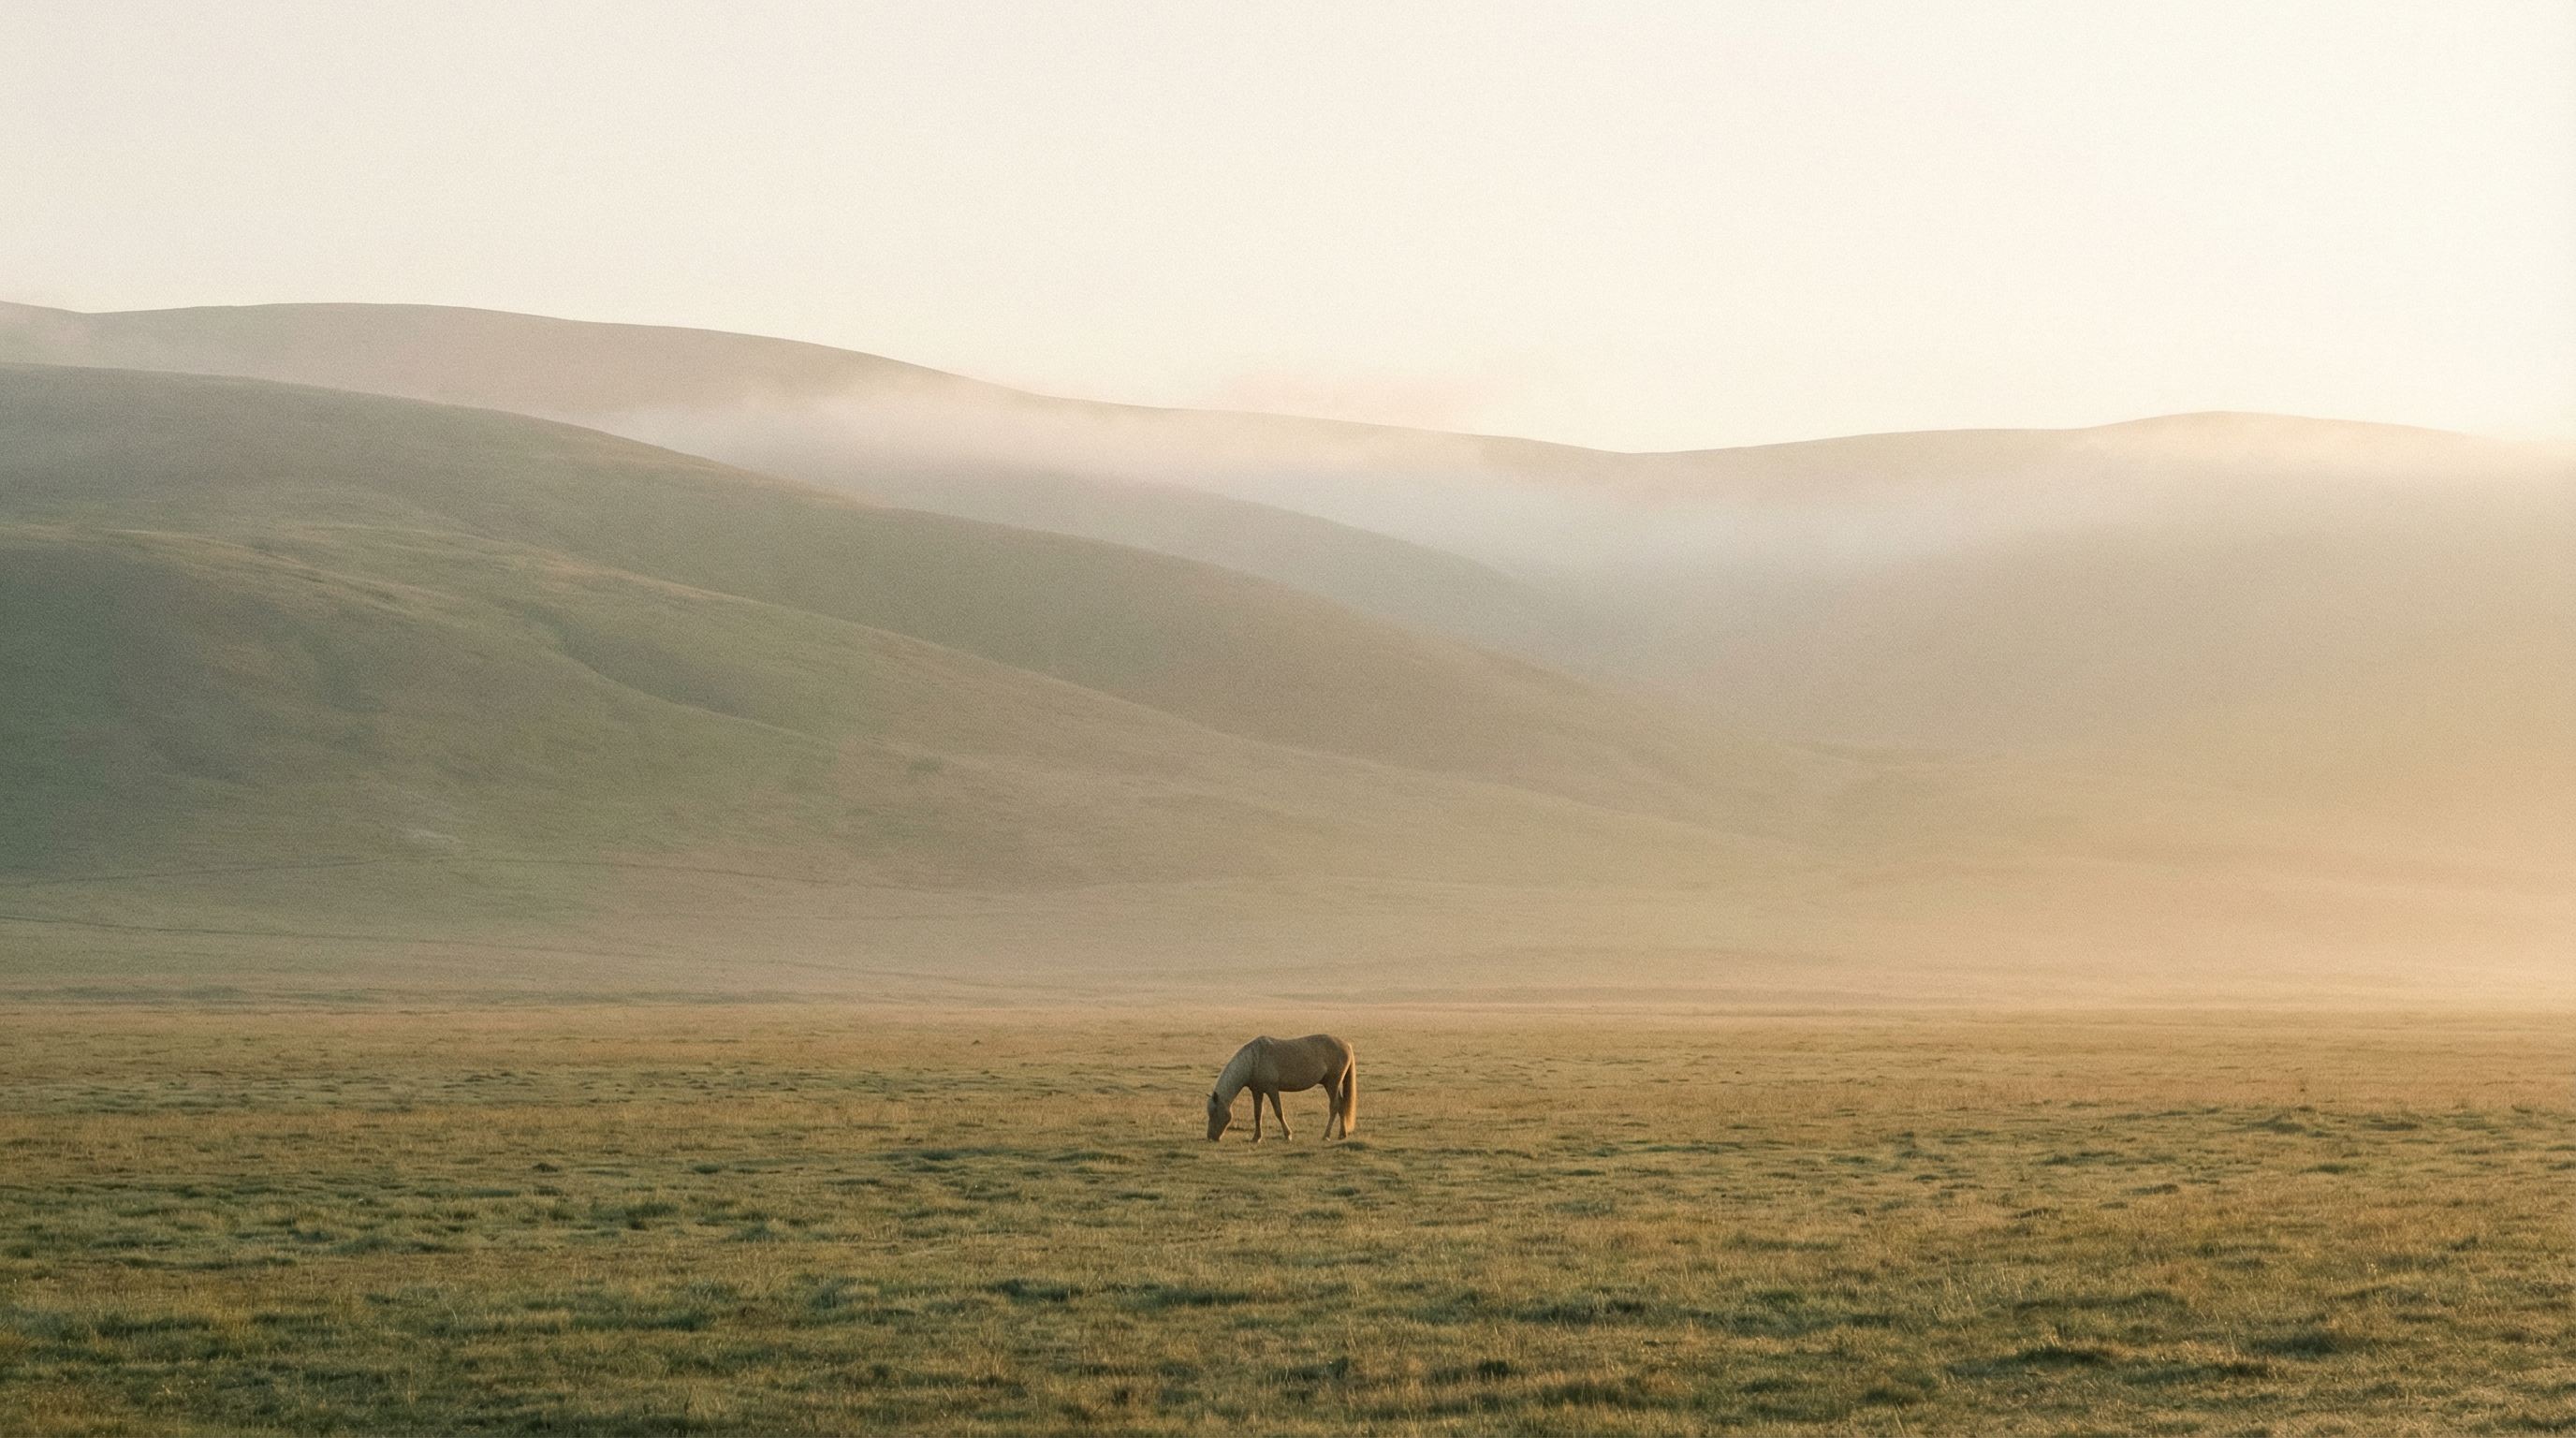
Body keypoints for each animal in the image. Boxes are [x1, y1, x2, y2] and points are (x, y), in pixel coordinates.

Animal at [1205, 1034, 1356, 1142]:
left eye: (1214, 1112)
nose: (1210, 1137)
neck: (1254, 1060)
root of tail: (1347, 1045)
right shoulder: (1257, 1092)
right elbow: (1257, 1114)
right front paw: (1256, 1137)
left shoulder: (1272, 1090)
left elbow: (1278, 1112)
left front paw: (1287, 1135)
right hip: (1329, 1084)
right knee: (1341, 1104)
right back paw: (1342, 1134)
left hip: (1332, 1084)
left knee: (1334, 1106)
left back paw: (1326, 1135)